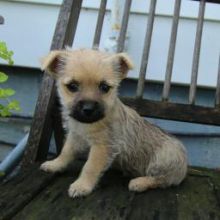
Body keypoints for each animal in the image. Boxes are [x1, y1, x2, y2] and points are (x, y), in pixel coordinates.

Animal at [40, 49, 187, 199]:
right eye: (72, 86)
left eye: (104, 87)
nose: (88, 109)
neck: (88, 124)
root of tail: (184, 167)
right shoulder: (75, 137)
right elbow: (65, 152)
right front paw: (55, 164)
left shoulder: (102, 147)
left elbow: (90, 166)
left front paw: (82, 185)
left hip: (164, 160)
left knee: (161, 180)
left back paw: (139, 183)